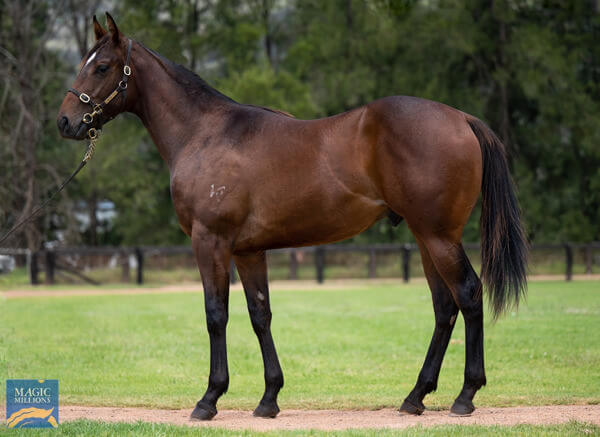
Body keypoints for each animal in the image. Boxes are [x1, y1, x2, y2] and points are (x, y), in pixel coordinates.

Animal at [56, 14, 524, 418]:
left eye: (101, 67)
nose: (65, 122)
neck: (204, 134)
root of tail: (461, 118)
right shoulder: (247, 251)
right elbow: (259, 315)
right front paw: (269, 398)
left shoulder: (211, 241)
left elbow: (215, 314)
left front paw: (209, 399)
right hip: (426, 238)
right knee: (444, 307)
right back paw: (416, 396)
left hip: (439, 236)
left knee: (468, 294)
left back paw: (465, 395)